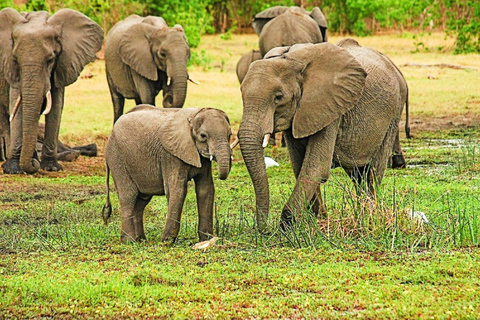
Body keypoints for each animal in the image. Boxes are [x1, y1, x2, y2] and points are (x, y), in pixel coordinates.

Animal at [0, 7, 104, 174]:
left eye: (50, 60)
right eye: (15, 60)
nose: (33, 165)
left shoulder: (62, 64)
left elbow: (55, 107)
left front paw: (51, 167)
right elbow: (17, 107)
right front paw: (13, 169)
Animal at [102, 105, 234, 242]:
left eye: (230, 135)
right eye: (203, 136)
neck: (193, 115)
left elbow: (205, 189)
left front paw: (207, 239)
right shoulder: (170, 155)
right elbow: (177, 189)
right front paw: (167, 241)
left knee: (142, 200)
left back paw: (141, 240)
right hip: (117, 158)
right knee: (128, 196)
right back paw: (129, 241)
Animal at [240, 39, 408, 230]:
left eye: (278, 97)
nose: (265, 231)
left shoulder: (331, 106)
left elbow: (316, 167)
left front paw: (287, 226)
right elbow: (299, 166)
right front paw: (318, 221)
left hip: (394, 113)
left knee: (373, 171)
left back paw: (369, 218)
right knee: (358, 174)